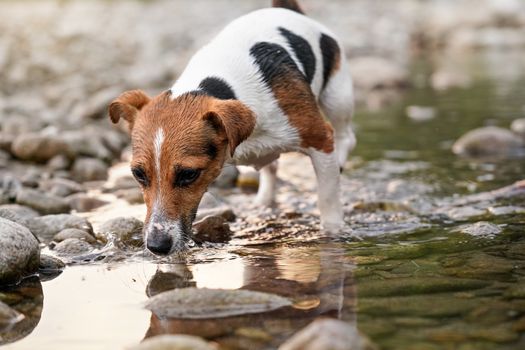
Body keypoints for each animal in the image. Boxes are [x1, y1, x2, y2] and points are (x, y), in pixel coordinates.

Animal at [110, 0, 356, 258]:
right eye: (138, 174)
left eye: (189, 174)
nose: (157, 246)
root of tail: (284, 8)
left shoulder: (319, 140)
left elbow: (328, 198)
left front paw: (332, 233)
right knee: (271, 166)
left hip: (337, 97)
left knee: (346, 136)